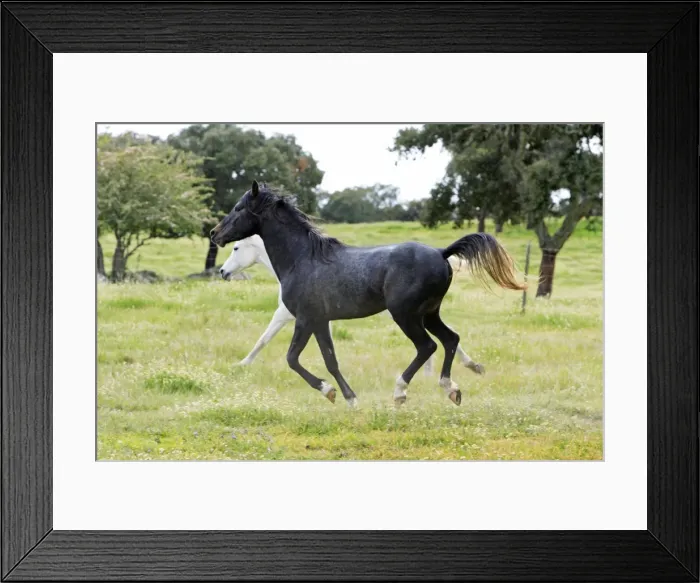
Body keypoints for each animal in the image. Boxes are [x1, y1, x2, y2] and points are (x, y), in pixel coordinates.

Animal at [219, 234, 486, 377]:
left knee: (432, 341)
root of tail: (440, 253)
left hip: (406, 314)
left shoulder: (285, 315)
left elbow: (263, 339)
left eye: (236, 247)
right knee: (442, 338)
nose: (222, 271)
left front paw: (242, 364)